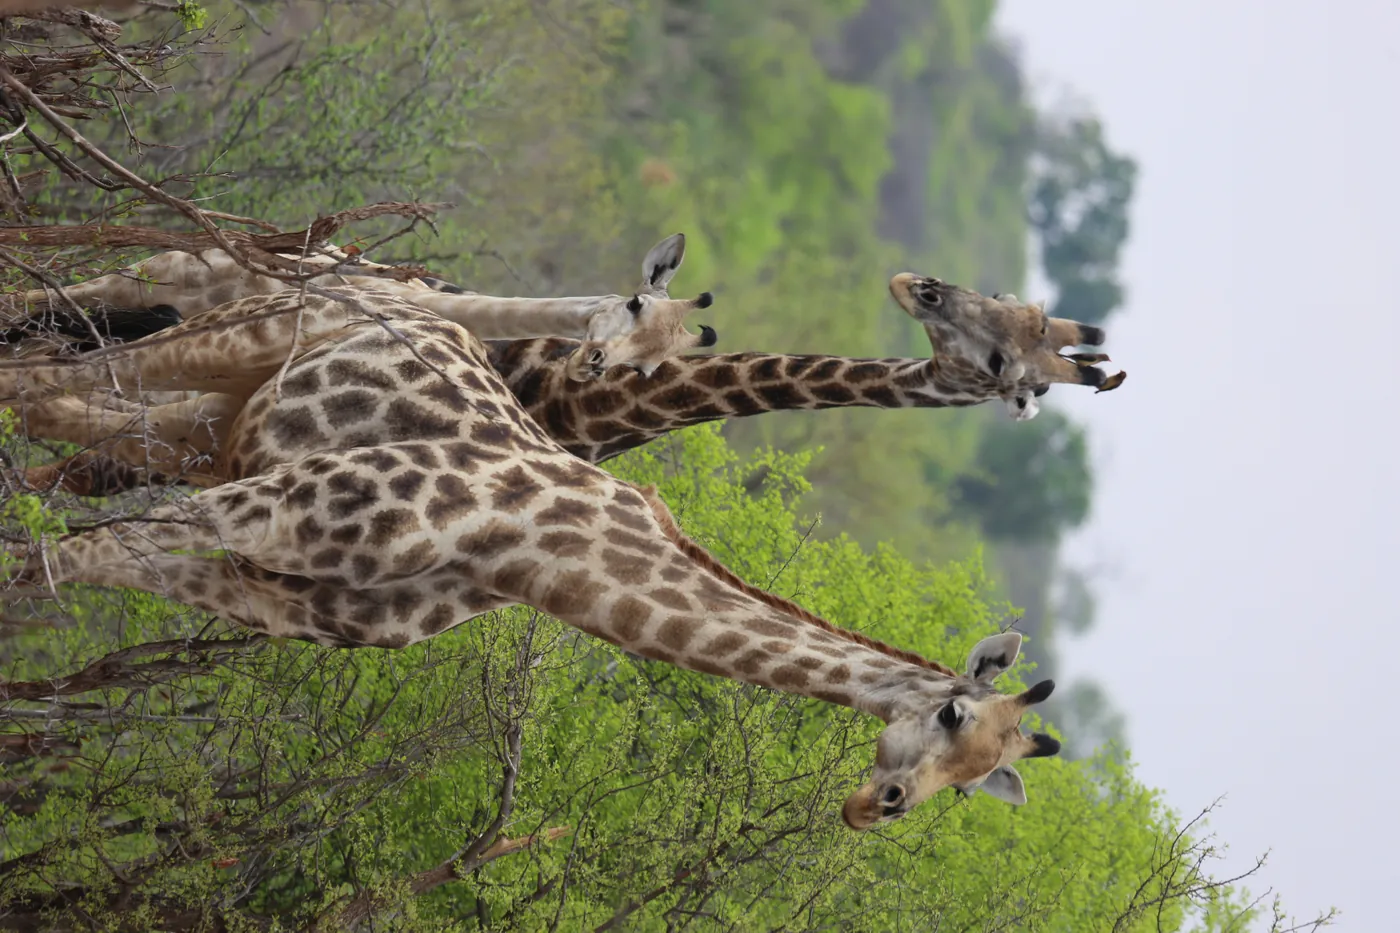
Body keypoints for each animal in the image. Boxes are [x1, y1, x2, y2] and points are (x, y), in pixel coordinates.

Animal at [0, 288, 1062, 828]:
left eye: (981, 780)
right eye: (953, 712)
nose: (878, 804)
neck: (524, 553)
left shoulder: (263, 590)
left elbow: (67, 573)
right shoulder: (274, 507)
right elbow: (43, 561)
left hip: (216, 420)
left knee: (62, 410)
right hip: (216, 359)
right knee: (51, 374)